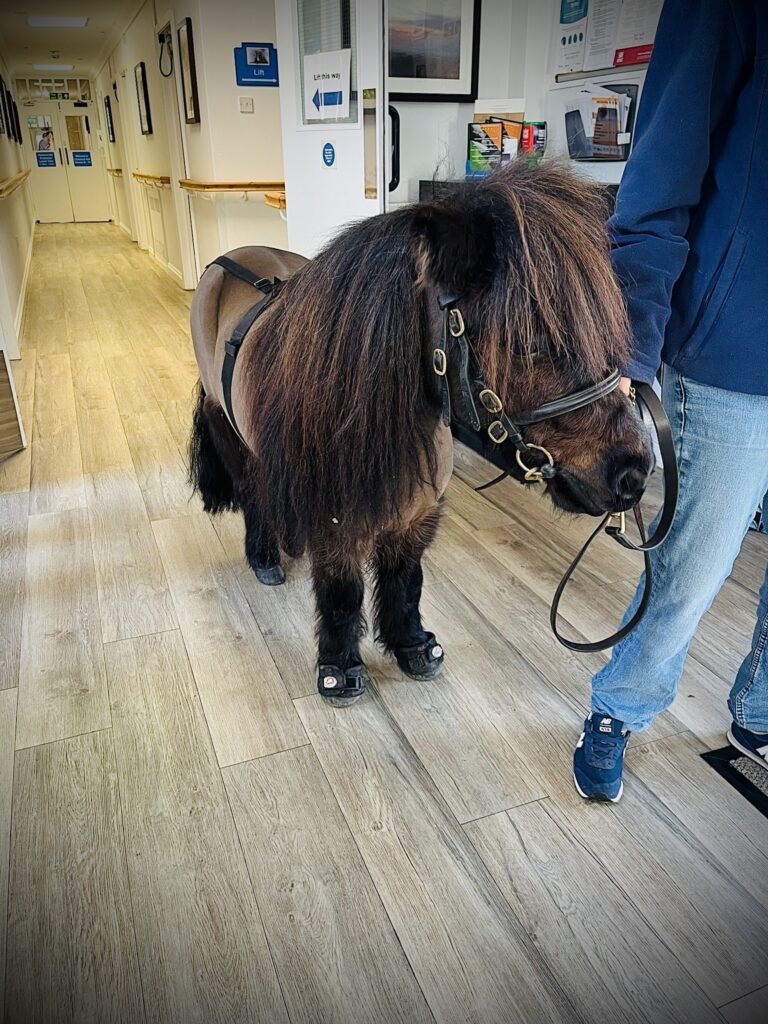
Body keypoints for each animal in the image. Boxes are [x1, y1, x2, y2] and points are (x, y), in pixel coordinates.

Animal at [189, 160, 654, 705]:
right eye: (527, 343)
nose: (632, 472)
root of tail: (227, 260)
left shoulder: (418, 515)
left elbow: (405, 581)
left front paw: (411, 644)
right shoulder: (336, 524)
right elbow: (342, 592)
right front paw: (339, 667)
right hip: (227, 424)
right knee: (253, 489)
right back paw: (264, 554)